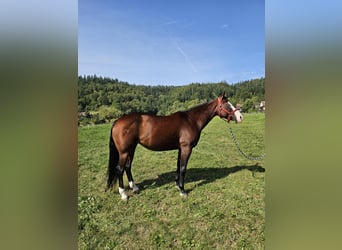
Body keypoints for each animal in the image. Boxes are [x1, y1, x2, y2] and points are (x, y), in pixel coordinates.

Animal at [105, 93, 242, 200]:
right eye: (227, 104)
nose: (240, 117)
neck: (191, 120)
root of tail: (117, 121)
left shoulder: (181, 148)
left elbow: (178, 166)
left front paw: (177, 185)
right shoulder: (186, 148)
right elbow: (183, 168)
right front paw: (182, 191)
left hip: (131, 149)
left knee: (127, 167)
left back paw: (134, 187)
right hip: (124, 152)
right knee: (119, 169)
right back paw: (123, 194)